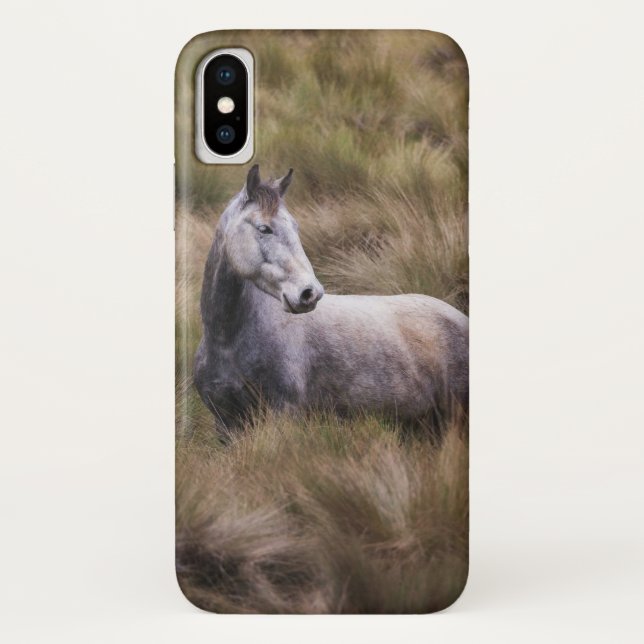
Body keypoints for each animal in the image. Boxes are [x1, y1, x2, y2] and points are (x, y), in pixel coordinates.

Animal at [194, 165, 468, 436]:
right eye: (264, 228)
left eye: (295, 227)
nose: (310, 293)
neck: (227, 341)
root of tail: (459, 317)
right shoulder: (226, 424)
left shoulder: (283, 415)